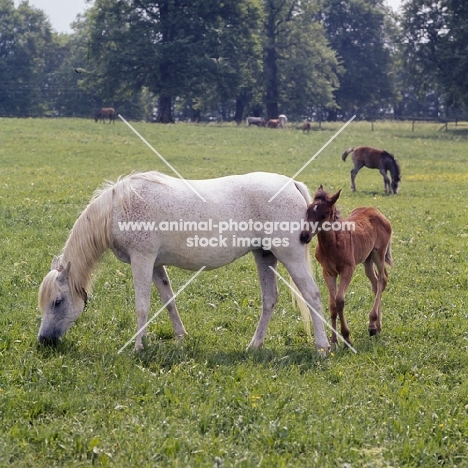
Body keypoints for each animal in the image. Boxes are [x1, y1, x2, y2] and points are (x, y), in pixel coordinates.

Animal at [37, 171, 330, 352]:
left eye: (57, 301)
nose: (43, 340)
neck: (118, 208)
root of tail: (292, 184)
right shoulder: (156, 265)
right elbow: (168, 301)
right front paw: (180, 337)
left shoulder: (142, 260)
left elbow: (142, 306)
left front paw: (138, 346)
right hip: (264, 255)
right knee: (269, 299)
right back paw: (254, 345)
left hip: (289, 255)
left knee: (312, 295)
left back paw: (323, 346)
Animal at [300, 186, 392, 348]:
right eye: (308, 211)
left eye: (323, 214)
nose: (304, 236)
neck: (332, 245)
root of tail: (377, 212)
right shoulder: (328, 272)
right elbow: (332, 305)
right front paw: (334, 341)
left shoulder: (348, 269)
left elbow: (339, 300)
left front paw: (347, 338)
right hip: (367, 259)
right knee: (375, 283)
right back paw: (377, 325)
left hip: (378, 254)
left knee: (382, 279)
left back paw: (372, 325)